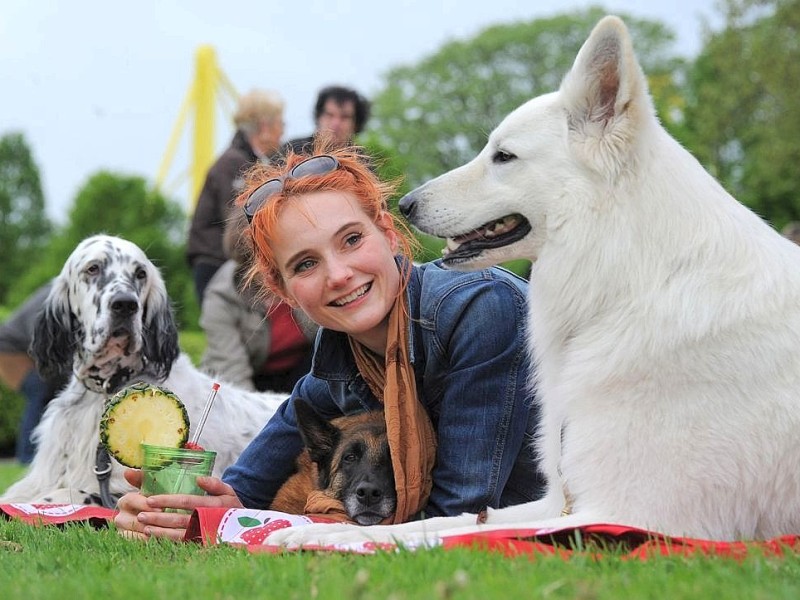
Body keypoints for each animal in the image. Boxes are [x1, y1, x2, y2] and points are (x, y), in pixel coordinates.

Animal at [268, 15, 800, 548]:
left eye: (504, 156)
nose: (406, 204)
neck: (637, 286)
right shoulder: (553, 500)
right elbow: (444, 522)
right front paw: (321, 531)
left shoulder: (623, 513)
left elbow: (427, 535)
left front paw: (322, 538)